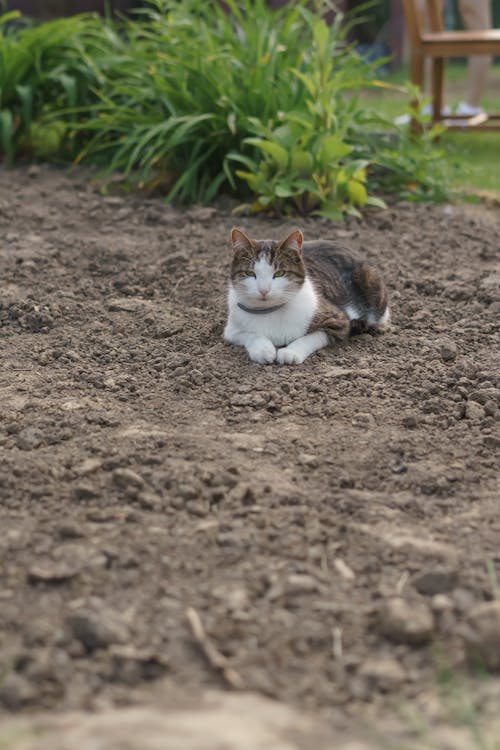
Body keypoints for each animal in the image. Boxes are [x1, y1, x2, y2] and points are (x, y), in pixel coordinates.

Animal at [223, 229, 390, 368]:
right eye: (250, 273)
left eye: (280, 273)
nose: (264, 290)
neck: (270, 311)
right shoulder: (231, 329)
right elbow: (249, 335)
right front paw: (263, 349)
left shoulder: (339, 321)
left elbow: (312, 336)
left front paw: (290, 352)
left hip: (369, 278)